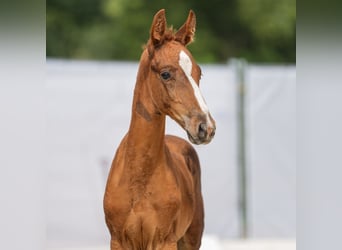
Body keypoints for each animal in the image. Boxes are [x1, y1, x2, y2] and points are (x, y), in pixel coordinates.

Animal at [104, 9, 216, 250]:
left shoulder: (164, 241)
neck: (139, 180)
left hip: (191, 238)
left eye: (199, 73)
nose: (206, 127)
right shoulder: (118, 241)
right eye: (166, 74)